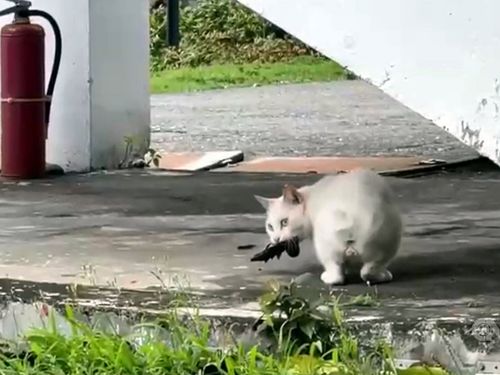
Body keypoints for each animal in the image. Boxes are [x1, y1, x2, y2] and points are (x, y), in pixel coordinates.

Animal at [254, 169, 402, 286]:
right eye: (270, 226)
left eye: (284, 222)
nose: (276, 239)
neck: (310, 199)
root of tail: (351, 219)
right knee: (365, 271)